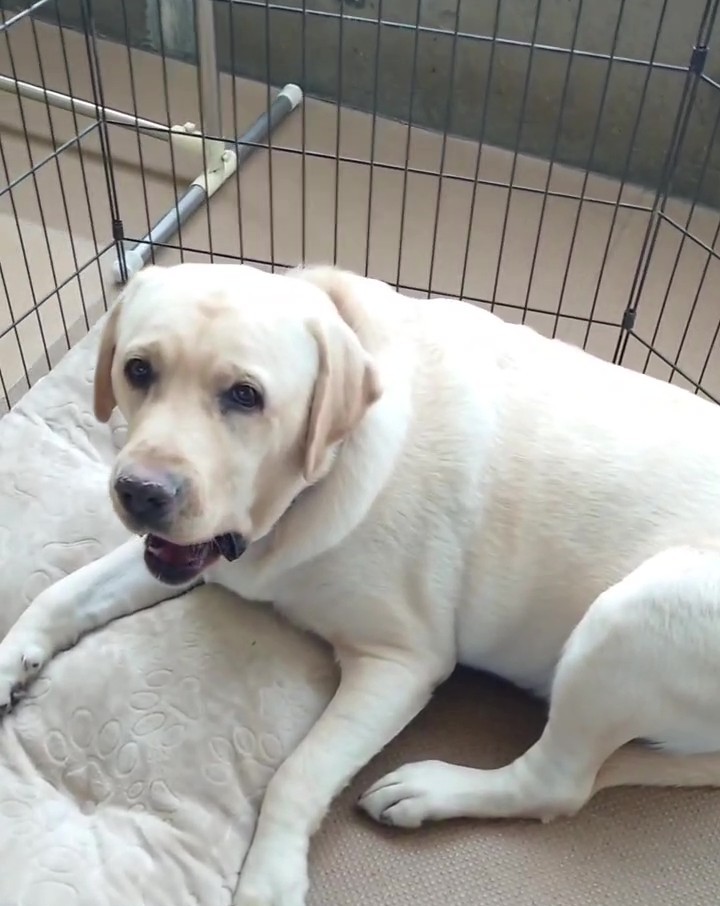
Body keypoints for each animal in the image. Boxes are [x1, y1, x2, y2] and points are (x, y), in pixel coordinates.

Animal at [3, 261, 720, 906]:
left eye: (244, 396)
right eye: (138, 370)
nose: (142, 492)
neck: (306, 487)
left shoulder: (401, 662)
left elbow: (297, 772)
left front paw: (270, 878)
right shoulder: (193, 554)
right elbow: (62, 590)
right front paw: (13, 657)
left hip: (637, 610)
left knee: (557, 784)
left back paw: (430, 790)